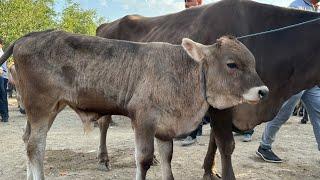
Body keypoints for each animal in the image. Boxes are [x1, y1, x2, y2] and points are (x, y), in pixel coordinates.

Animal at [0, 29, 268, 180]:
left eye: (254, 63)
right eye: (232, 64)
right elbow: (144, 160)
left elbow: (167, 160)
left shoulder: (164, 129)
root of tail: (29, 36)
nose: (263, 91)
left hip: (47, 109)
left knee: (26, 139)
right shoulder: (143, 120)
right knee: (35, 147)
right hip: (41, 106)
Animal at [96, 0, 320, 179]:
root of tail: (106, 26)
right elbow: (226, 144)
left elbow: (215, 140)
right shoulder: (221, 105)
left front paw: (209, 170)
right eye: (232, 65)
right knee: (104, 123)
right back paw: (103, 159)